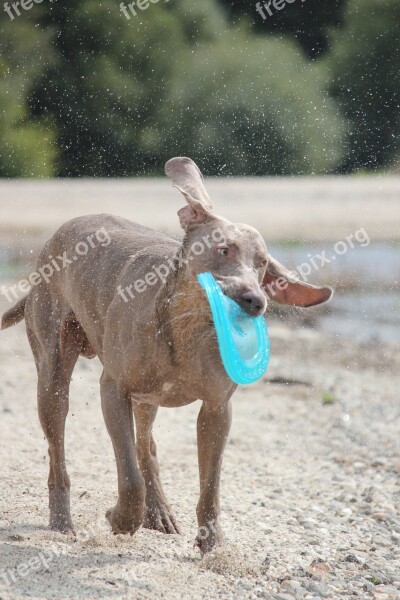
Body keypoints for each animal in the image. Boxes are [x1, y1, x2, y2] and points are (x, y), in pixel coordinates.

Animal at [0, 158, 332, 552]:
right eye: (224, 249)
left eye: (263, 264)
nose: (255, 300)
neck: (184, 330)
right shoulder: (113, 389)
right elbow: (129, 477)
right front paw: (121, 518)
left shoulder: (217, 409)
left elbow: (209, 486)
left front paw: (212, 544)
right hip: (53, 375)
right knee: (58, 452)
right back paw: (62, 522)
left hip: (147, 399)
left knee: (147, 445)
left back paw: (158, 512)